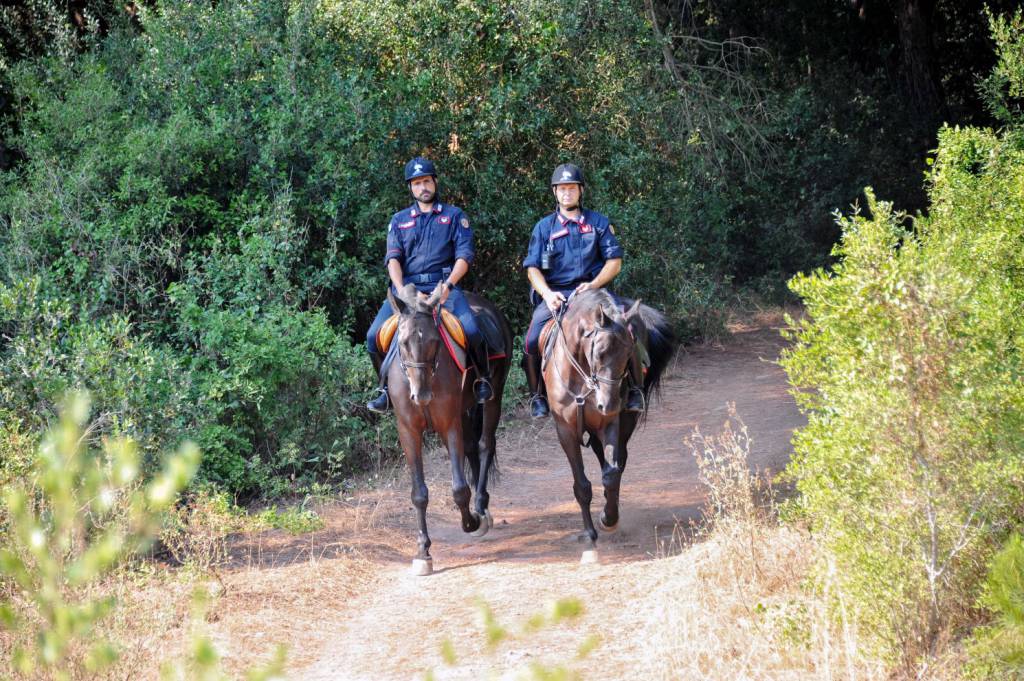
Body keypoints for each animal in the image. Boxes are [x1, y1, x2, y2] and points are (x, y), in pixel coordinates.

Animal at [385, 280, 512, 573]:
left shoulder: (449, 424)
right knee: (472, 448)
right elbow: (419, 493)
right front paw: (423, 551)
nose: (421, 396)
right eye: (403, 342)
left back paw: (481, 506)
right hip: (465, 410)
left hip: (493, 397)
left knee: (484, 445)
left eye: (434, 341)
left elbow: (459, 489)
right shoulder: (408, 431)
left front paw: (471, 521)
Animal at [540, 288, 675, 561]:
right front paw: (590, 535)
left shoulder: (610, 423)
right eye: (599, 353)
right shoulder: (566, 431)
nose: (608, 404)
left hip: (622, 423)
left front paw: (608, 518)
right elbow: (582, 485)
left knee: (618, 461)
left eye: (628, 354)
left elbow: (612, 474)